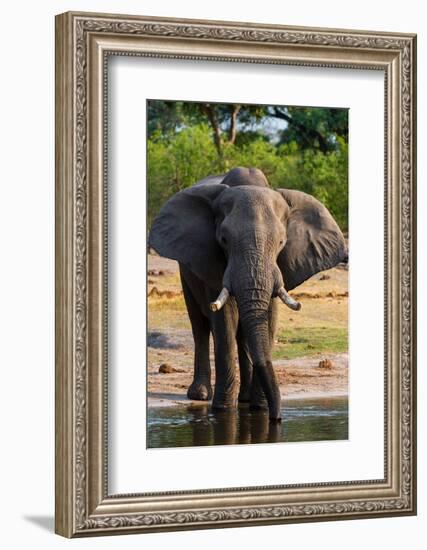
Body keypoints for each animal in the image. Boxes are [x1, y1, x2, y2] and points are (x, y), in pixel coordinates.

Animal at [149, 168, 350, 422]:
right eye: (224, 240)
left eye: (282, 242)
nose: (277, 418)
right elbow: (224, 320)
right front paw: (223, 410)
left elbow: (269, 318)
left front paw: (259, 408)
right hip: (185, 270)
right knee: (199, 325)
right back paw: (201, 395)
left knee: (242, 334)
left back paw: (244, 399)